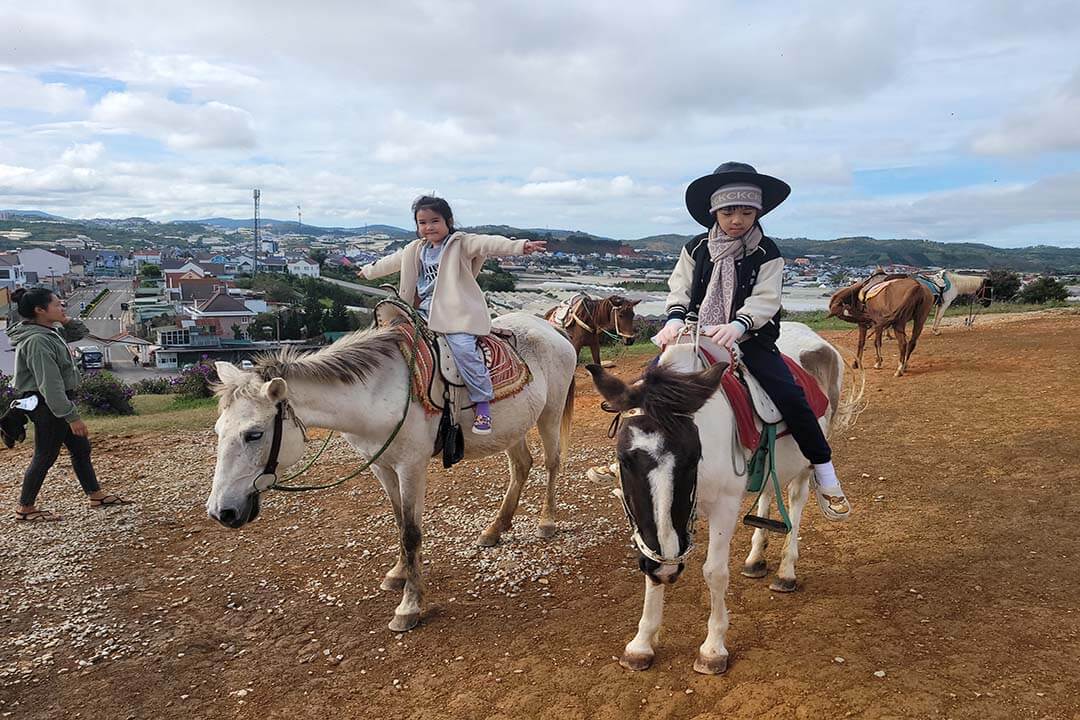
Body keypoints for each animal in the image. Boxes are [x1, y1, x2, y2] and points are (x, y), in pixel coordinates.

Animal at [587, 325, 855, 677]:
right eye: (625, 459)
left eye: (693, 458)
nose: (667, 568)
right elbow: (650, 567)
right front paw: (641, 643)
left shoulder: (724, 506)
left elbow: (714, 572)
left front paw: (713, 649)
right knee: (767, 490)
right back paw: (755, 559)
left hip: (806, 464)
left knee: (797, 503)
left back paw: (786, 571)